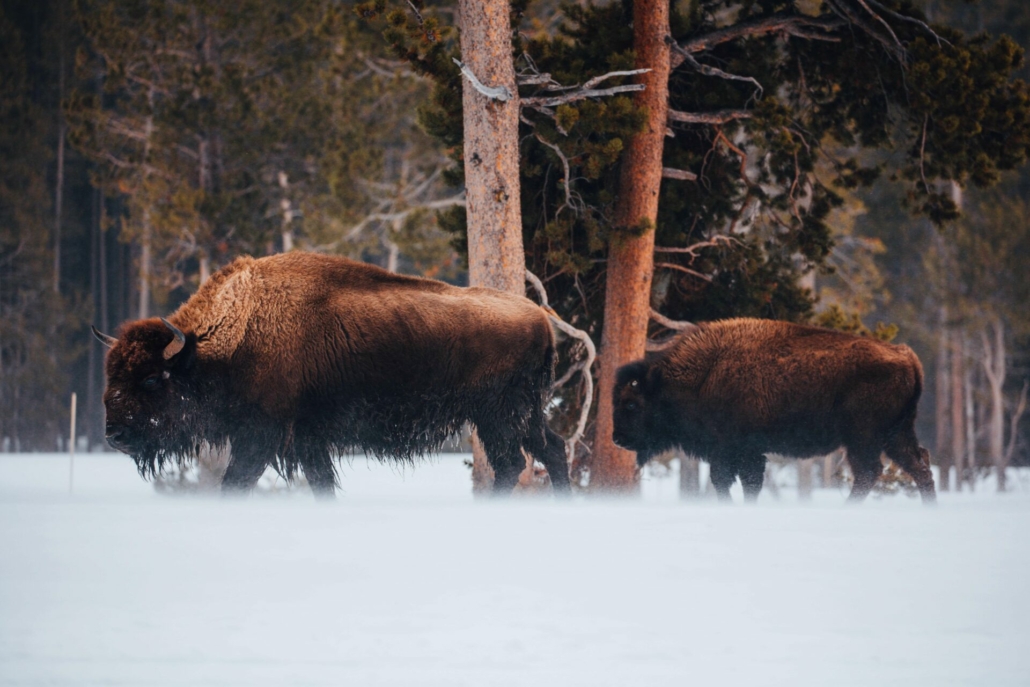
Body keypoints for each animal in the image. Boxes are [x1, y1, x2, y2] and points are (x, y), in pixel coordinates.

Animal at [613, 319, 939, 504]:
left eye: (631, 403)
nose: (617, 439)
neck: (705, 374)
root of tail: (906, 357)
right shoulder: (743, 453)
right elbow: (745, 483)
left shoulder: (734, 450)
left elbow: (729, 481)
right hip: (896, 433)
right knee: (919, 464)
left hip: (863, 438)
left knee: (870, 472)